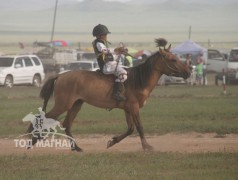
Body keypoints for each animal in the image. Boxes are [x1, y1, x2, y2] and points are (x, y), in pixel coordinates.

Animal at [28, 38, 190, 151]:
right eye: (173, 59)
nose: (188, 72)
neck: (137, 80)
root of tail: (60, 75)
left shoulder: (128, 109)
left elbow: (130, 129)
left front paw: (112, 142)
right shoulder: (134, 107)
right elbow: (139, 127)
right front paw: (146, 146)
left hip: (76, 105)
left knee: (66, 124)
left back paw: (76, 148)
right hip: (63, 105)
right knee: (43, 118)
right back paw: (32, 140)